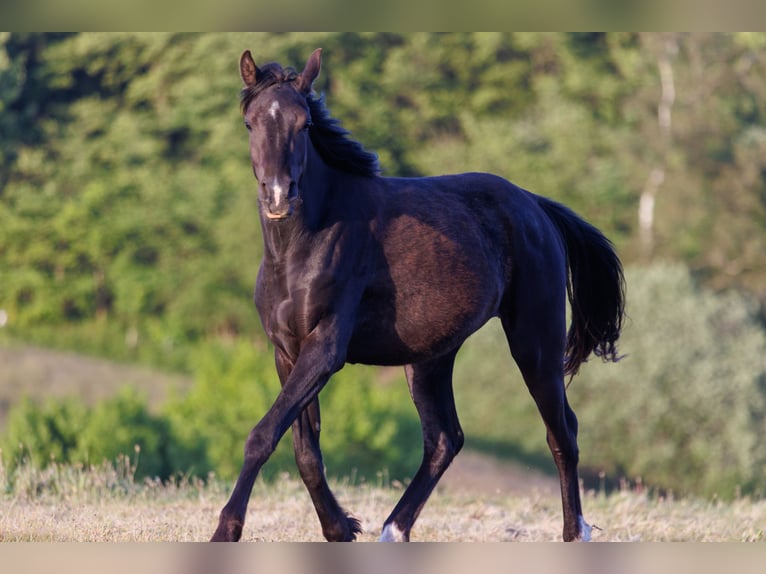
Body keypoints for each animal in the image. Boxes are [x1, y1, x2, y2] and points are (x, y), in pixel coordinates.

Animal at [211, 48, 625, 542]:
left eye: (304, 124)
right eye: (250, 122)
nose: (278, 196)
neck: (303, 245)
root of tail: (535, 205)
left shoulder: (325, 348)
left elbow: (262, 435)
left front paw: (226, 530)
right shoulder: (286, 353)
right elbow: (304, 449)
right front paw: (341, 528)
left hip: (536, 343)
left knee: (562, 432)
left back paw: (574, 531)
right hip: (431, 357)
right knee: (446, 438)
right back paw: (393, 529)